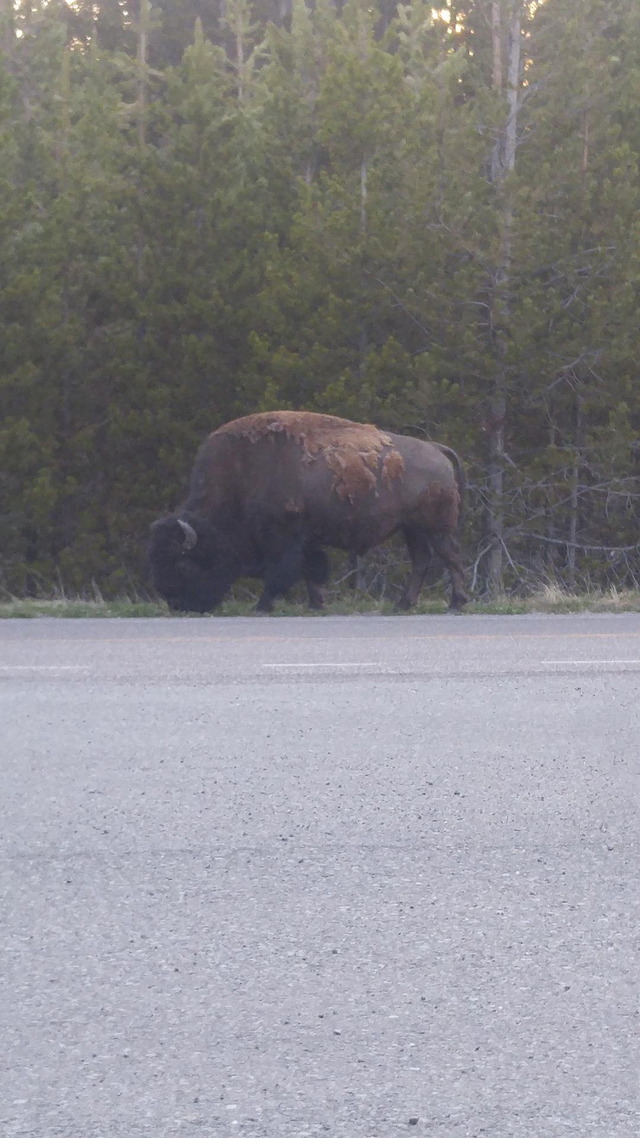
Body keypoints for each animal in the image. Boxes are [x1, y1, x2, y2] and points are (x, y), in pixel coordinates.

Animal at [150, 409, 469, 614]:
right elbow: (310, 570)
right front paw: (317, 604)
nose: (178, 605)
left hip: (435, 527)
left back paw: (455, 604)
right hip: (412, 528)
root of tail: (436, 448)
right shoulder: (306, 539)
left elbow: (282, 572)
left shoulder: (283, 538)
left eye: (183, 564)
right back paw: (402, 604)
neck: (240, 475)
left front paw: (262, 606)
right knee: (422, 561)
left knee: (450, 557)